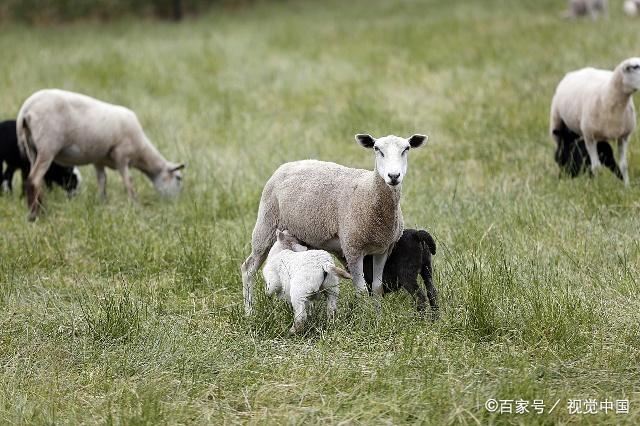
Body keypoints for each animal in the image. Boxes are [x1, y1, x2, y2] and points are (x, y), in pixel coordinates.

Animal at [16, 87, 185, 220]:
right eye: (178, 178)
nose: (176, 203)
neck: (141, 152)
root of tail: (26, 109)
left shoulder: (99, 160)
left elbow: (102, 181)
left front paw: (103, 203)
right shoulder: (122, 155)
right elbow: (128, 181)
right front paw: (135, 205)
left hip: (32, 148)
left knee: (36, 180)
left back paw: (40, 210)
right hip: (48, 146)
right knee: (33, 179)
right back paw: (34, 216)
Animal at [241, 133, 430, 316]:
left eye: (406, 149)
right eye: (377, 149)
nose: (393, 176)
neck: (370, 192)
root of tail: (287, 165)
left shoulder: (383, 249)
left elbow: (377, 288)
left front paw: (378, 317)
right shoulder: (352, 248)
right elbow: (362, 290)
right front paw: (366, 319)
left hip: (305, 238)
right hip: (266, 224)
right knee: (248, 268)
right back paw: (249, 311)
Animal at [548, 58, 640, 186]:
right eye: (635, 67)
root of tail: (578, 70)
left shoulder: (623, 136)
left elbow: (623, 165)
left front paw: (627, 187)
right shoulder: (589, 137)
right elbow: (596, 166)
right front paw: (598, 187)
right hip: (557, 124)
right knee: (562, 151)